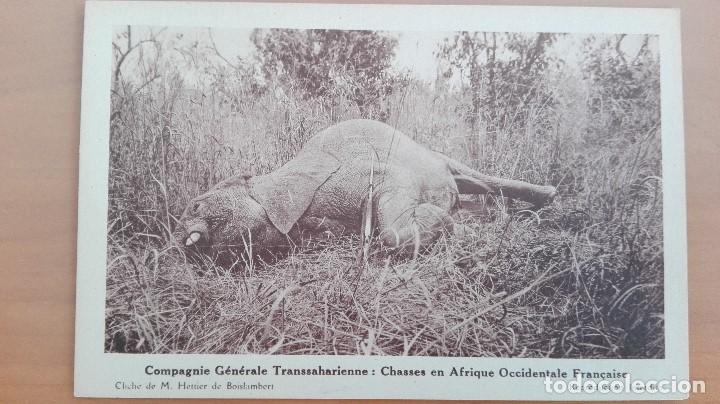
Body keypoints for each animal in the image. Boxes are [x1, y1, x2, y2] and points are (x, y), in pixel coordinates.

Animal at [174, 119, 556, 257]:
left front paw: (446, 223)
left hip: (439, 159)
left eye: (195, 205)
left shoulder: (357, 171)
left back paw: (547, 196)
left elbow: (391, 220)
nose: (179, 240)